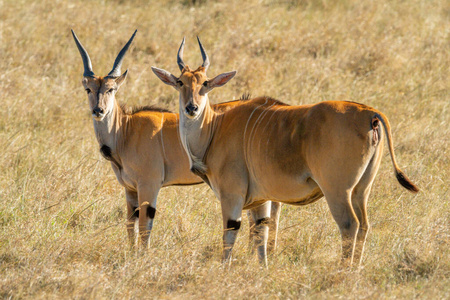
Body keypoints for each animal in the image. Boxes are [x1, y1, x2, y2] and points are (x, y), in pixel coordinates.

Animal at [71, 29, 280, 251]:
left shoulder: (149, 186)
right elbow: (130, 228)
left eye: (111, 89)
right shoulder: (130, 190)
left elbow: (144, 227)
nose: (98, 111)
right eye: (88, 90)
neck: (125, 131)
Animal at [153, 38, 420, 268]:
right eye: (181, 82)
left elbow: (230, 235)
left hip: (337, 190)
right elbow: (261, 236)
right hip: (362, 189)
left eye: (205, 83)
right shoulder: (260, 200)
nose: (192, 108)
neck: (214, 127)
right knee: (364, 225)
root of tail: (369, 113)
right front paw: (263, 269)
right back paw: (356, 268)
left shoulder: (232, 196)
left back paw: (343, 270)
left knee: (349, 224)